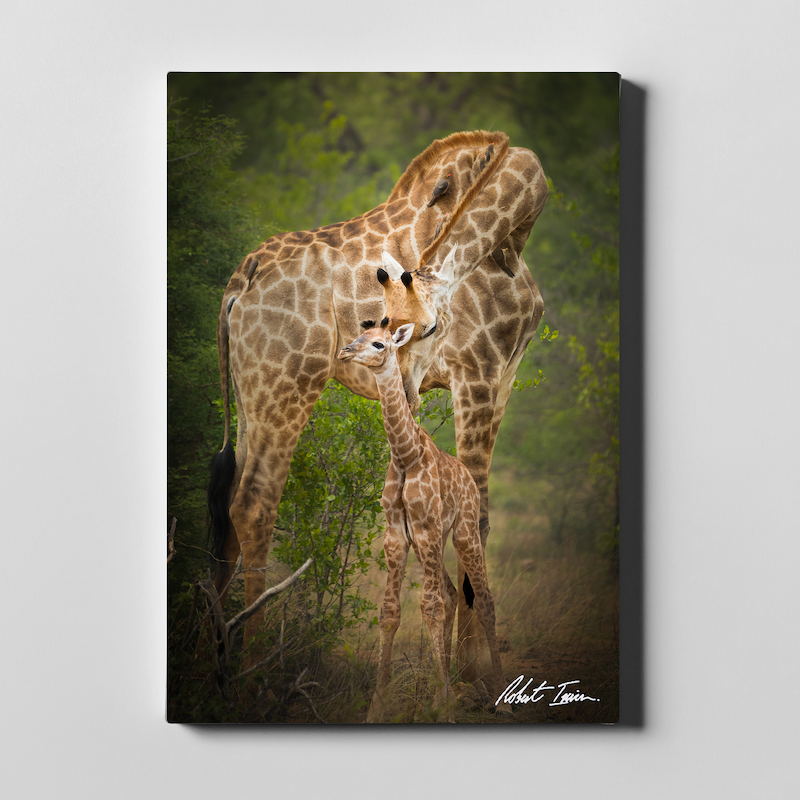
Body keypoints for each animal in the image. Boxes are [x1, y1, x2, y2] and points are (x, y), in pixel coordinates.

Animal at [207, 130, 547, 667]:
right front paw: (471, 665)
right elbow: (478, 514)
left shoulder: (505, 378)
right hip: (287, 380)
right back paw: (253, 661)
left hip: (249, 390)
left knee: (226, 506)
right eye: (386, 325)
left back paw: (213, 656)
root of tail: (242, 277)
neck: (511, 245)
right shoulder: (477, 373)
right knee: (255, 503)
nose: (402, 385)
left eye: (422, 328)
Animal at [337, 321, 512, 723]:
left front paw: (446, 707)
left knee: (483, 600)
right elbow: (391, 612)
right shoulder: (397, 535)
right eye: (356, 336)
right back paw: (438, 693)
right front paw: (378, 707)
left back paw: (498, 694)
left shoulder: (428, 529)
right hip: (427, 543)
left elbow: (430, 608)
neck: (405, 455)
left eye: (379, 343)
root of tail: (469, 480)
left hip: (463, 533)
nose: (345, 352)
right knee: (449, 592)